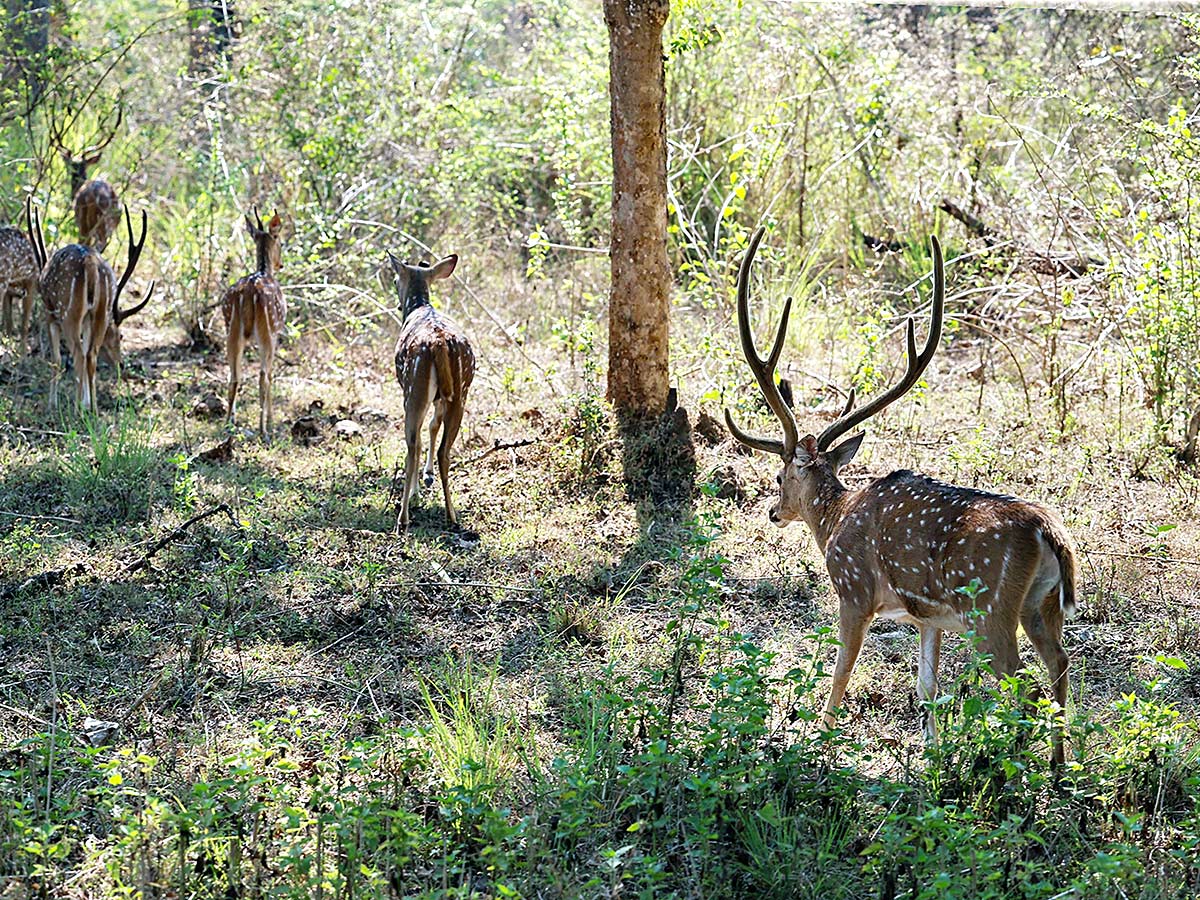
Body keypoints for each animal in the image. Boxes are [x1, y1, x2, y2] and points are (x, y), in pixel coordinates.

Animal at [27, 202, 153, 410]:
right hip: (99, 311)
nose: (121, 364)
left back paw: (76, 409)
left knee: (78, 355)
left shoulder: (50, 314)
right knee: (90, 354)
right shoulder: (86, 319)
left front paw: (53, 404)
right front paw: (86, 403)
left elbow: (56, 359)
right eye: (120, 335)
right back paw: (92, 409)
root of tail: (91, 264)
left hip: (69, 312)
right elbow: (85, 352)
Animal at [220, 208, 285, 441]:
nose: (280, 264)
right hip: (266, 330)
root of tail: (249, 291)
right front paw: (272, 421)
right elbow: (271, 374)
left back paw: (229, 424)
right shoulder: (277, 333)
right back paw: (263, 429)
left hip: (230, 328)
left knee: (233, 377)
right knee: (263, 376)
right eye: (281, 242)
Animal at [388, 252, 472, 535]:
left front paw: (416, 490)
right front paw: (427, 476)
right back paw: (452, 515)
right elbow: (434, 426)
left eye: (395, 280)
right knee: (445, 450)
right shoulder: (440, 399)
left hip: (414, 388)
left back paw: (403, 518)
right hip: (460, 393)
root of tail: (438, 342)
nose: (398, 305)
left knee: (412, 445)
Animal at [724, 229, 1084, 763]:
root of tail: (1048, 532)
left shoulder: (853, 590)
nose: (773, 511)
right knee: (1059, 665)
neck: (835, 520)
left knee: (1024, 685)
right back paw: (1059, 767)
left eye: (778, 476)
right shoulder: (927, 615)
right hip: (1043, 605)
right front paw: (930, 755)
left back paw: (1016, 767)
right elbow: (926, 686)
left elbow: (842, 671)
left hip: (989, 609)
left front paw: (819, 739)